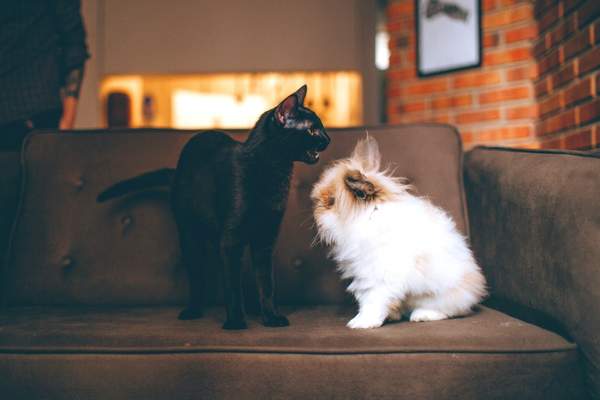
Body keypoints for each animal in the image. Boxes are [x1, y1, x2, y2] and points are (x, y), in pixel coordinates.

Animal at [100, 86, 330, 330]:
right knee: (198, 277)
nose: (328, 138)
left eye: (320, 128)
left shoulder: (265, 239)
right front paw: (236, 322)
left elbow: (266, 283)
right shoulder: (230, 240)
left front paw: (271, 317)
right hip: (189, 236)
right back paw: (193, 310)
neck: (273, 172)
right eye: (313, 130)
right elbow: (232, 285)